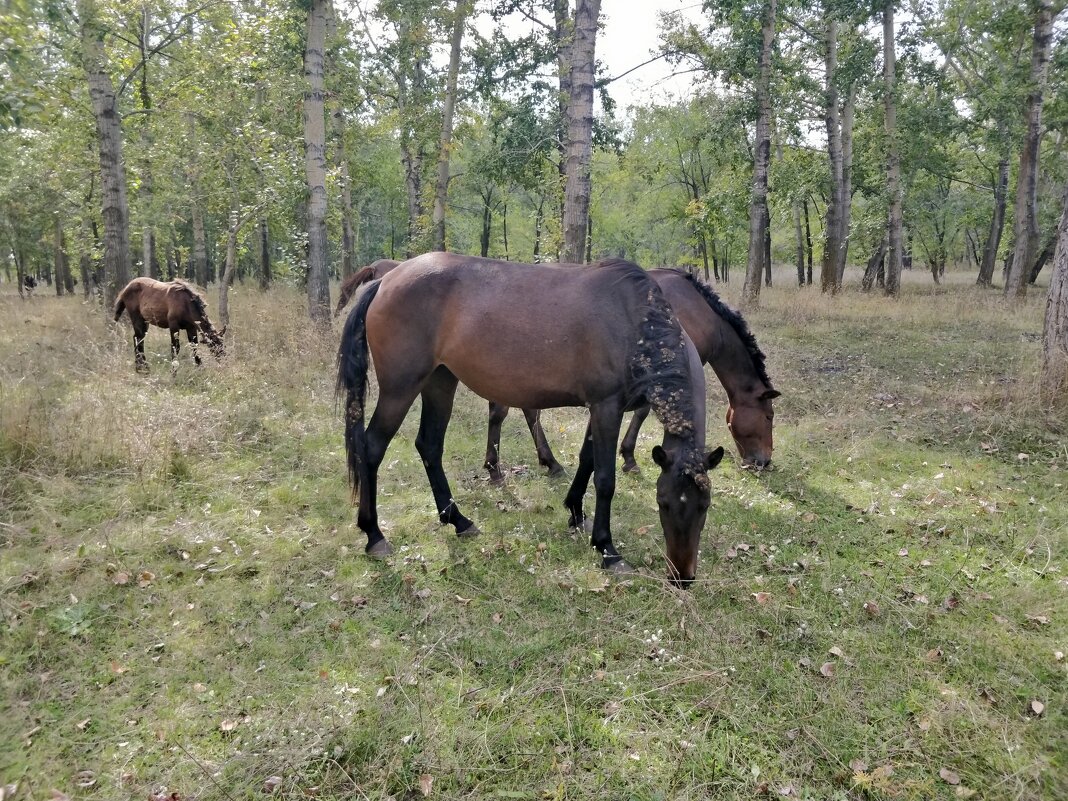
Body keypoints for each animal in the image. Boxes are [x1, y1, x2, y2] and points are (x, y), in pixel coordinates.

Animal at [339, 254, 726, 585]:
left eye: (705, 506)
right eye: (663, 503)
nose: (682, 577)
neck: (633, 321)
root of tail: (387, 279)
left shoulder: (602, 408)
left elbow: (586, 460)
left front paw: (575, 513)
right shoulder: (606, 406)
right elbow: (605, 479)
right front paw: (607, 548)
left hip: (440, 381)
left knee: (429, 446)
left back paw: (458, 521)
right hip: (401, 388)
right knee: (372, 448)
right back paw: (374, 534)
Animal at [482, 270, 777, 482]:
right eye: (769, 417)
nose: (764, 461)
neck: (700, 313)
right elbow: (643, 412)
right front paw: (630, 458)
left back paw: (546, 462)